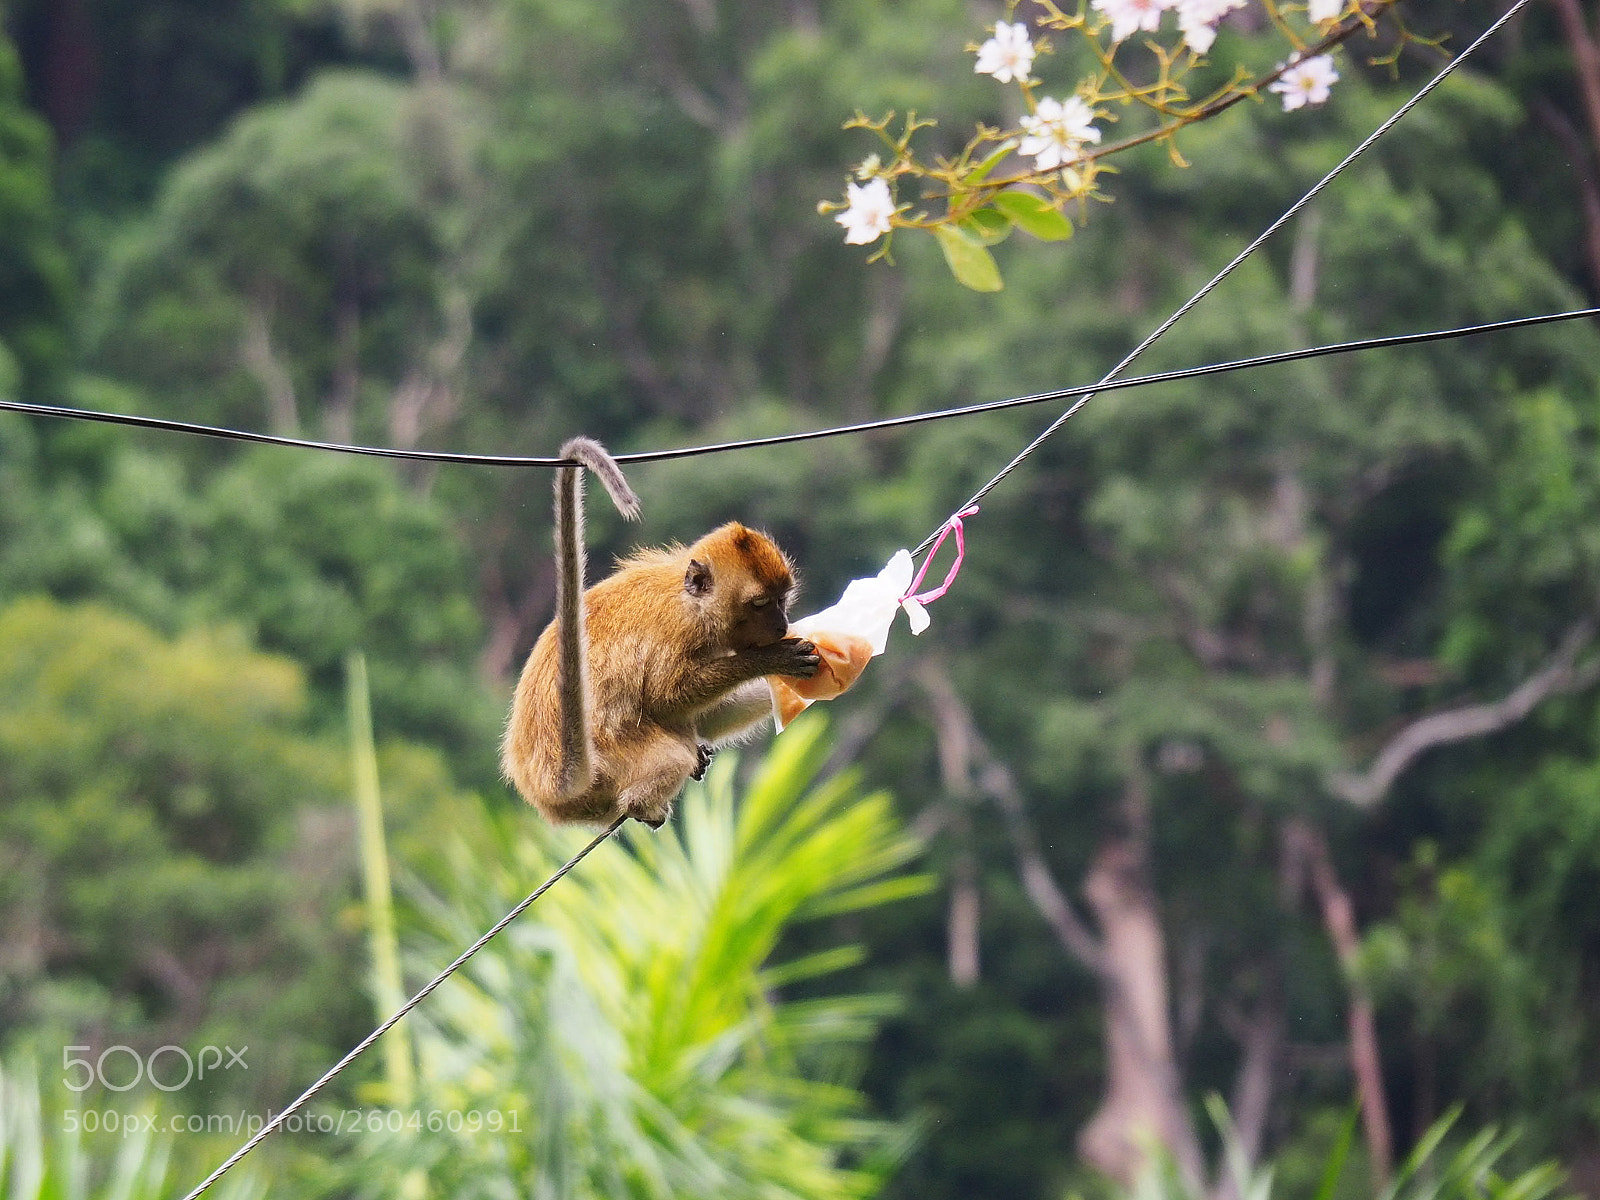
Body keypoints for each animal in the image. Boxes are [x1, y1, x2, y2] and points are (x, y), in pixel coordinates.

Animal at [501, 437, 821, 829]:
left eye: (782, 599)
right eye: (760, 603)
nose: (782, 624)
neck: (691, 601)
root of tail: (550, 786)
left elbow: (709, 716)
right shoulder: (680, 630)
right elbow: (665, 698)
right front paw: (772, 659)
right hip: (614, 760)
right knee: (670, 754)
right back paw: (642, 804)